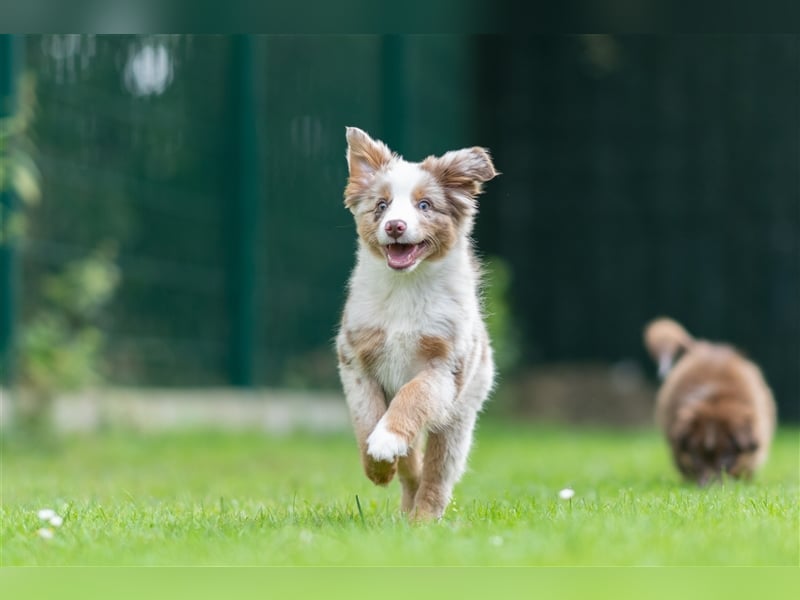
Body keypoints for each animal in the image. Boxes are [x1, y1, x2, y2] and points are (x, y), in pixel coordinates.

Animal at [334, 126, 496, 520]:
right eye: (381, 205)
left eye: (425, 206)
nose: (395, 226)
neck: (405, 288)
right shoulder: (355, 362)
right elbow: (367, 418)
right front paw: (377, 465)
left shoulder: (444, 367)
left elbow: (413, 396)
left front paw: (386, 439)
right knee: (413, 468)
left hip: (459, 418)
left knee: (436, 474)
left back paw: (423, 520)